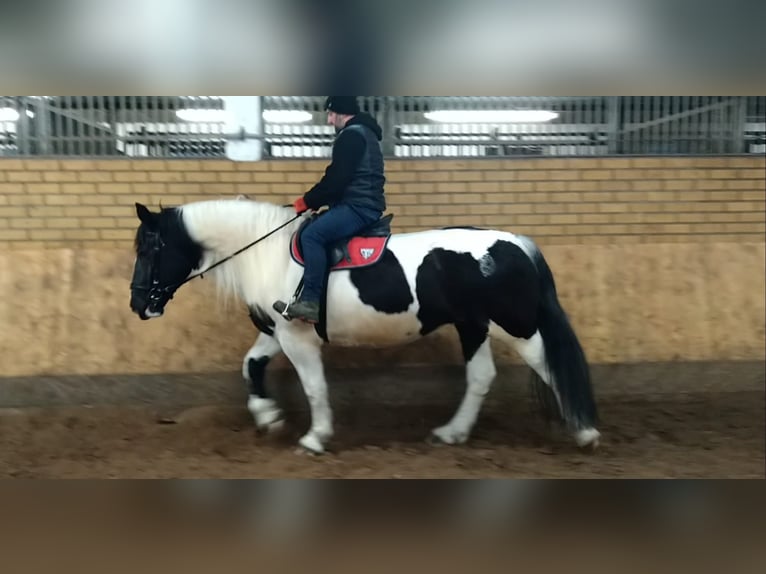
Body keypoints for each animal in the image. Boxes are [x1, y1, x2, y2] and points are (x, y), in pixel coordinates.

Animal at [129, 198, 600, 455]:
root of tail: (516, 243)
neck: (267, 254)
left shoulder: (296, 337)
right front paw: (268, 416)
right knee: (482, 376)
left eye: (151, 248)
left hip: (515, 326)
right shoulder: (276, 332)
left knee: (549, 364)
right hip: (473, 325)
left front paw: (315, 437)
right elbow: (251, 365)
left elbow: (314, 387)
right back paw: (452, 432)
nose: (137, 305)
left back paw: (586, 432)